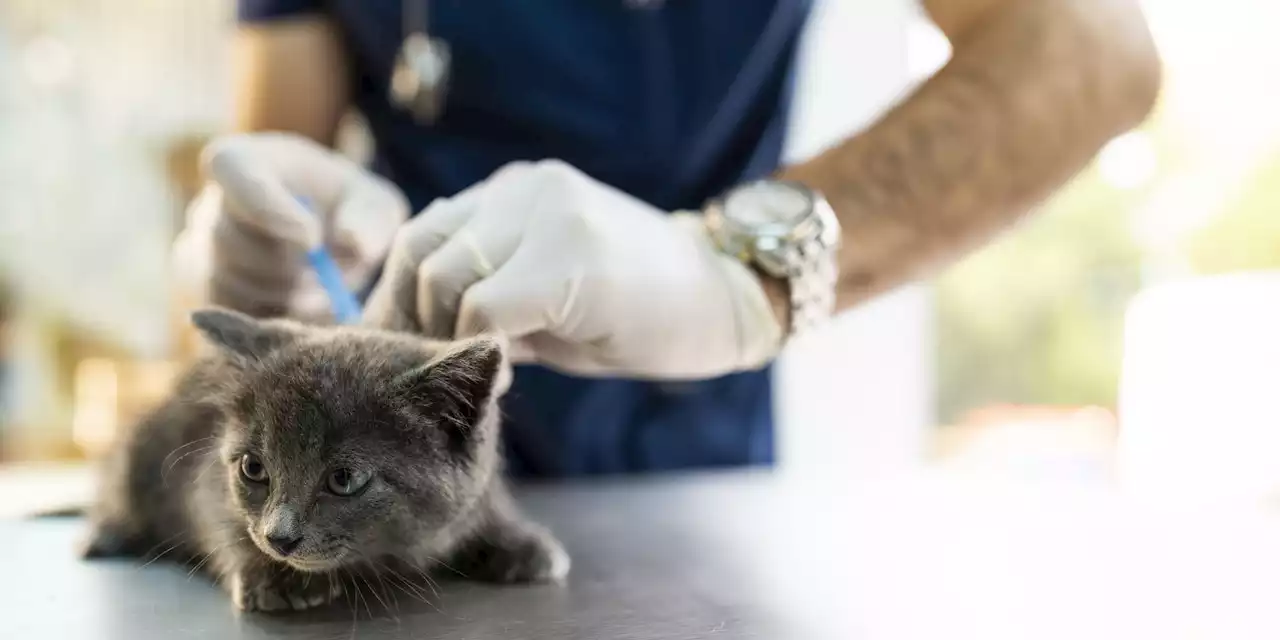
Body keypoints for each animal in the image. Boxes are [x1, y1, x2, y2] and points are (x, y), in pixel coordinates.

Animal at [87, 309, 568, 614]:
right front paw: (273, 576)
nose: (279, 538)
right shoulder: (204, 481)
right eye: (252, 469)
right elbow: (222, 522)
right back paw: (105, 536)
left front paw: (523, 545)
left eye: (345, 478)